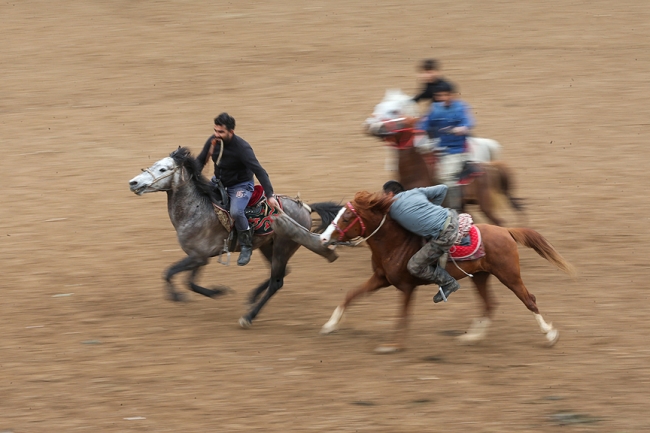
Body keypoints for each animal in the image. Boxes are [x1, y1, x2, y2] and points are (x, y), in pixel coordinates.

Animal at [126, 147, 340, 326]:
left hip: (283, 247)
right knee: (281, 274)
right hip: (267, 246)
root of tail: (306, 208)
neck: (195, 209)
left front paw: (178, 296)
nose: (133, 182)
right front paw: (217, 291)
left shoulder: (197, 257)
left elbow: (170, 273)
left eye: (163, 169)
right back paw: (252, 297)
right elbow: (190, 282)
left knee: (276, 283)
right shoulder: (200, 258)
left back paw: (249, 317)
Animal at [316, 191, 568, 352]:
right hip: (481, 276)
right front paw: (329, 325)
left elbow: (402, 315)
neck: (395, 243)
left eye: (347, 217)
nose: (324, 238)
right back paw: (472, 337)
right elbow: (352, 295)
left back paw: (550, 334)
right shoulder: (381, 279)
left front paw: (393, 345)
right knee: (490, 304)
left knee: (529, 299)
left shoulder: (406, 287)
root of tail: (506, 231)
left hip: (509, 275)